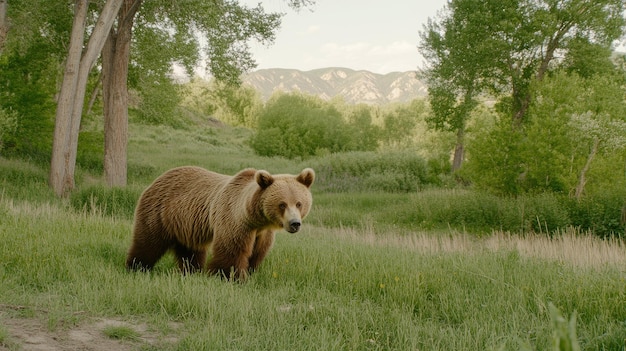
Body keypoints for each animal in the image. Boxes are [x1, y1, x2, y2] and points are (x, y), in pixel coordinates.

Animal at [125, 167, 314, 280]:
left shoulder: (262, 233)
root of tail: (159, 178)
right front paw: (230, 276)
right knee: (148, 243)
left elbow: (257, 253)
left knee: (189, 249)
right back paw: (137, 266)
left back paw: (191, 270)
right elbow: (232, 250)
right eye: (282, 204)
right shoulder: (234, 220)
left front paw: (250, 272)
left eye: (299, 203)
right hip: (158, 213)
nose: (295, 223)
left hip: (185, 224)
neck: (256, 219)